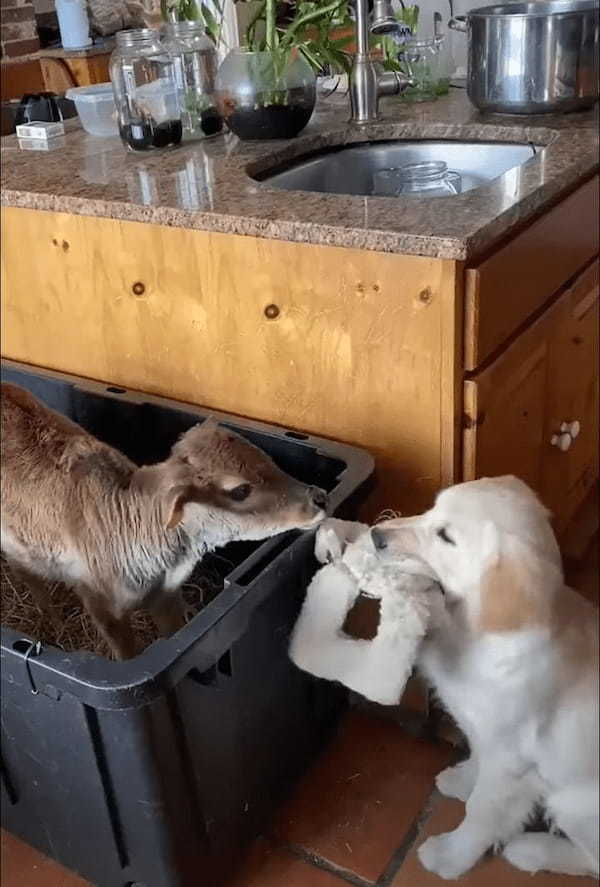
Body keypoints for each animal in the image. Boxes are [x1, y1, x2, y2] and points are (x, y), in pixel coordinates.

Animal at [372, 478, 596, 880]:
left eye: (445, 536)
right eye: (431, 508)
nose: (375, 535)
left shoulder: (512, 763)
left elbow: (482, 812)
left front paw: (451, 856)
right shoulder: (481, 727)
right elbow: (477, 754)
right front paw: (462, 779)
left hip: (574, 802)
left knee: (593, 860)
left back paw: (532, 851)